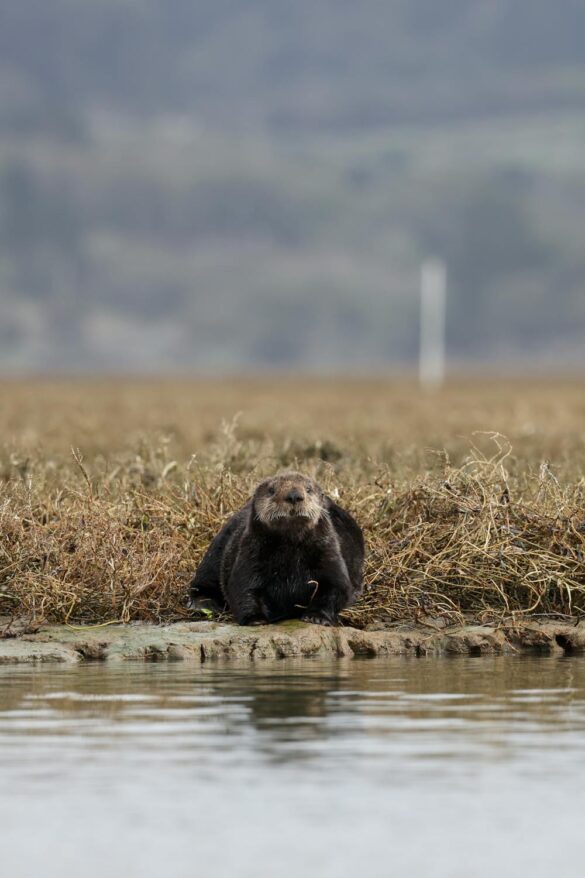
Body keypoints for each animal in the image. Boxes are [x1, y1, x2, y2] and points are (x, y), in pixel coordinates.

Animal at [188, 471, 364, 626]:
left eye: (308, 489)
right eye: (272, 490)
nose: (294, 495)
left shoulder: (328, 552)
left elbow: (336, 587)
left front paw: (317, 617)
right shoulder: (250, 553)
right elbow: (242, 587)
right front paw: (256, 619)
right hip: (218, 546)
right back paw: (204, 603)